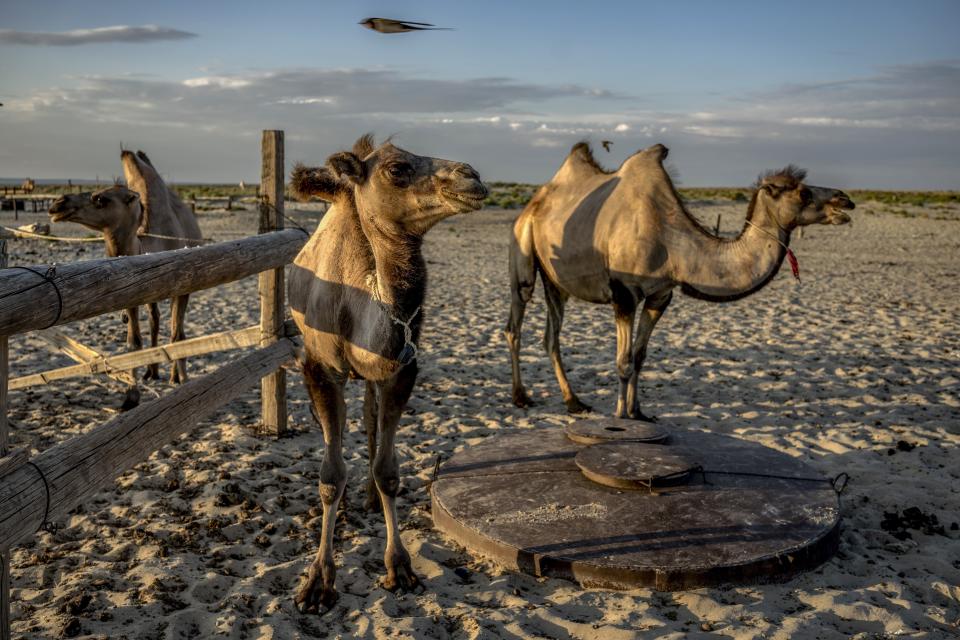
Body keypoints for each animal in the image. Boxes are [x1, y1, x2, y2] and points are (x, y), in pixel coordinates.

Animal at [286, 134, 488, 608]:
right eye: (397, 168)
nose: (471, 176)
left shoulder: (400, 368)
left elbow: (388, 471)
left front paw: (400, 567)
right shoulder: (320, 368)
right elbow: (329, 475)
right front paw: (318, 580)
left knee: (369, 420)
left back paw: (367, 498)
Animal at [506, 141, 852, 420]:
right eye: (804, 192)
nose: (845, 200)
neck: (671, 241)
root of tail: (534, 202)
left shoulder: (661, 294)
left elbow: (640, 357)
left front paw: (638, 412)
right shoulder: (624, 293)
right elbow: (623, 361)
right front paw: (620, 418)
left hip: (557, 282)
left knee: (551, 335)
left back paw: (574, 402)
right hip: (523, 246)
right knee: (516, 319)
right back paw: (521, 397)